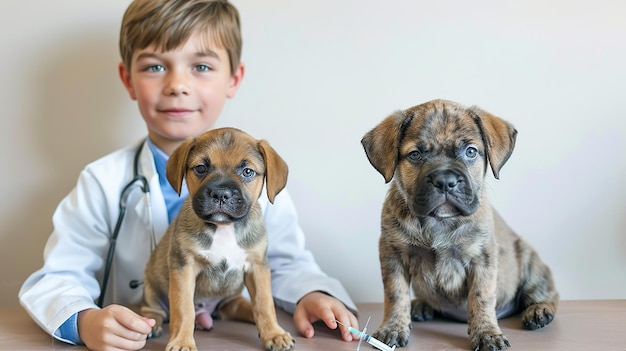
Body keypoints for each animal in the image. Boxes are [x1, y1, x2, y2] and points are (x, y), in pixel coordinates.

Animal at [141, 128, 294, 351]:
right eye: (201, 168)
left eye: (247, 171)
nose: (221, 194)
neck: (224, 228)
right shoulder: (183, 266)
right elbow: (183, 308)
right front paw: (182, 341)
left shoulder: (257, 266)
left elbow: (265, 304)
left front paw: (274, 334)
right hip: (151, 288)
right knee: (154, 310)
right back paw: (151, 324)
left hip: (231, 298)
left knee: (247, 307)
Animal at [358, 99, 560, 351]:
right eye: (415, 155)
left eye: (470, 151)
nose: (445, 181)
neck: (439, 222)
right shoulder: (392, 254)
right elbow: (395, 294)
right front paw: (393, 327)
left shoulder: (482, 259)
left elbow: (481, 297)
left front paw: (486, 333)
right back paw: (422, 305)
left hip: (530, 262)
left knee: (548, 295)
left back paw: (539, 311)